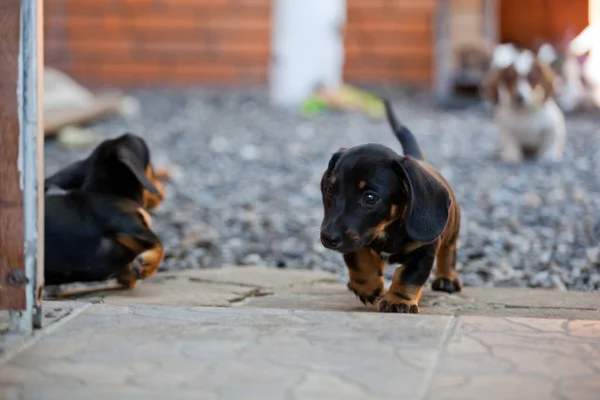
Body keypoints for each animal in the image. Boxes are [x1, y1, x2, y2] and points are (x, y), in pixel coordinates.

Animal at [44, 133, 168, 298]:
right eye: (151, 167)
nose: (162, 189)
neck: (107, 192)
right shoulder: (127, 223)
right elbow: (158, 243)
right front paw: (147, 266)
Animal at [322, 98, 462, 314]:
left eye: (370, 197)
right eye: (330, 189)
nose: (328, 238)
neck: (387, 229)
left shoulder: (424, 250)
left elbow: (409, 275)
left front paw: (398, 301)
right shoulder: (357, 239)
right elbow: (359, 259)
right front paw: (368, 287)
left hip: (452, 230)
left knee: (449, 251)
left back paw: (447, 279)